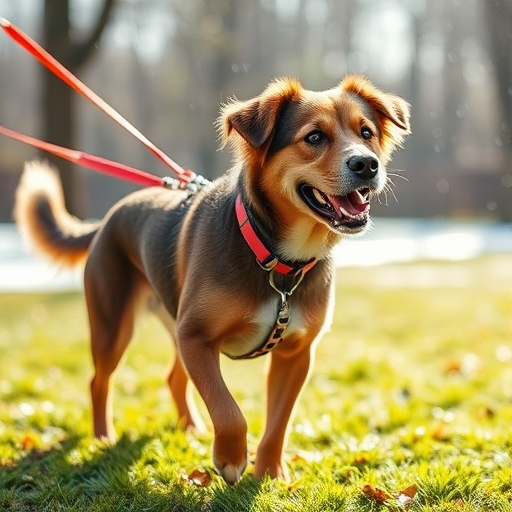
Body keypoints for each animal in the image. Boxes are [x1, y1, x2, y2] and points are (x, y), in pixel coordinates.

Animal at [14, 74, 410, 482]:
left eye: (366, 132)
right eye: (314, 137)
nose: (367, 164)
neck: (277, 259)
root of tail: (107, 219)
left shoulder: (295, 354)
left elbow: (278, 424)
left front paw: (269, 474)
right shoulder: (196, 337)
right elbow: (228, 409)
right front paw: (231, 459)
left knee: (173, 379)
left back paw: (190, 429)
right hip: (113, 327)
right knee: (99, 381)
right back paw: (103, 436)